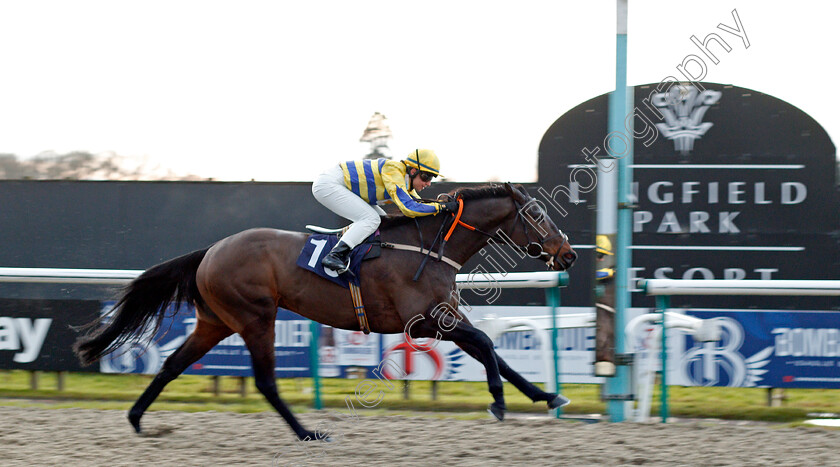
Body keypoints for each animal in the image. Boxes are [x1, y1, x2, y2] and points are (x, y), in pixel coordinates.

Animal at [74, 184, 576, 442]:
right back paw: (307, 433)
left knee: (173, 366)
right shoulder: (429, 321)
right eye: (536, 214)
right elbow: (489, 345)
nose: (568, 254)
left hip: (214, 321)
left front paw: (547, 396)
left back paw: (137, 419)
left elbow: (498, 354)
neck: (429, 248)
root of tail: (210, 251)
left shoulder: (446, 317)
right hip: (255, 317)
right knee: (265, 381)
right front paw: (498, 402)